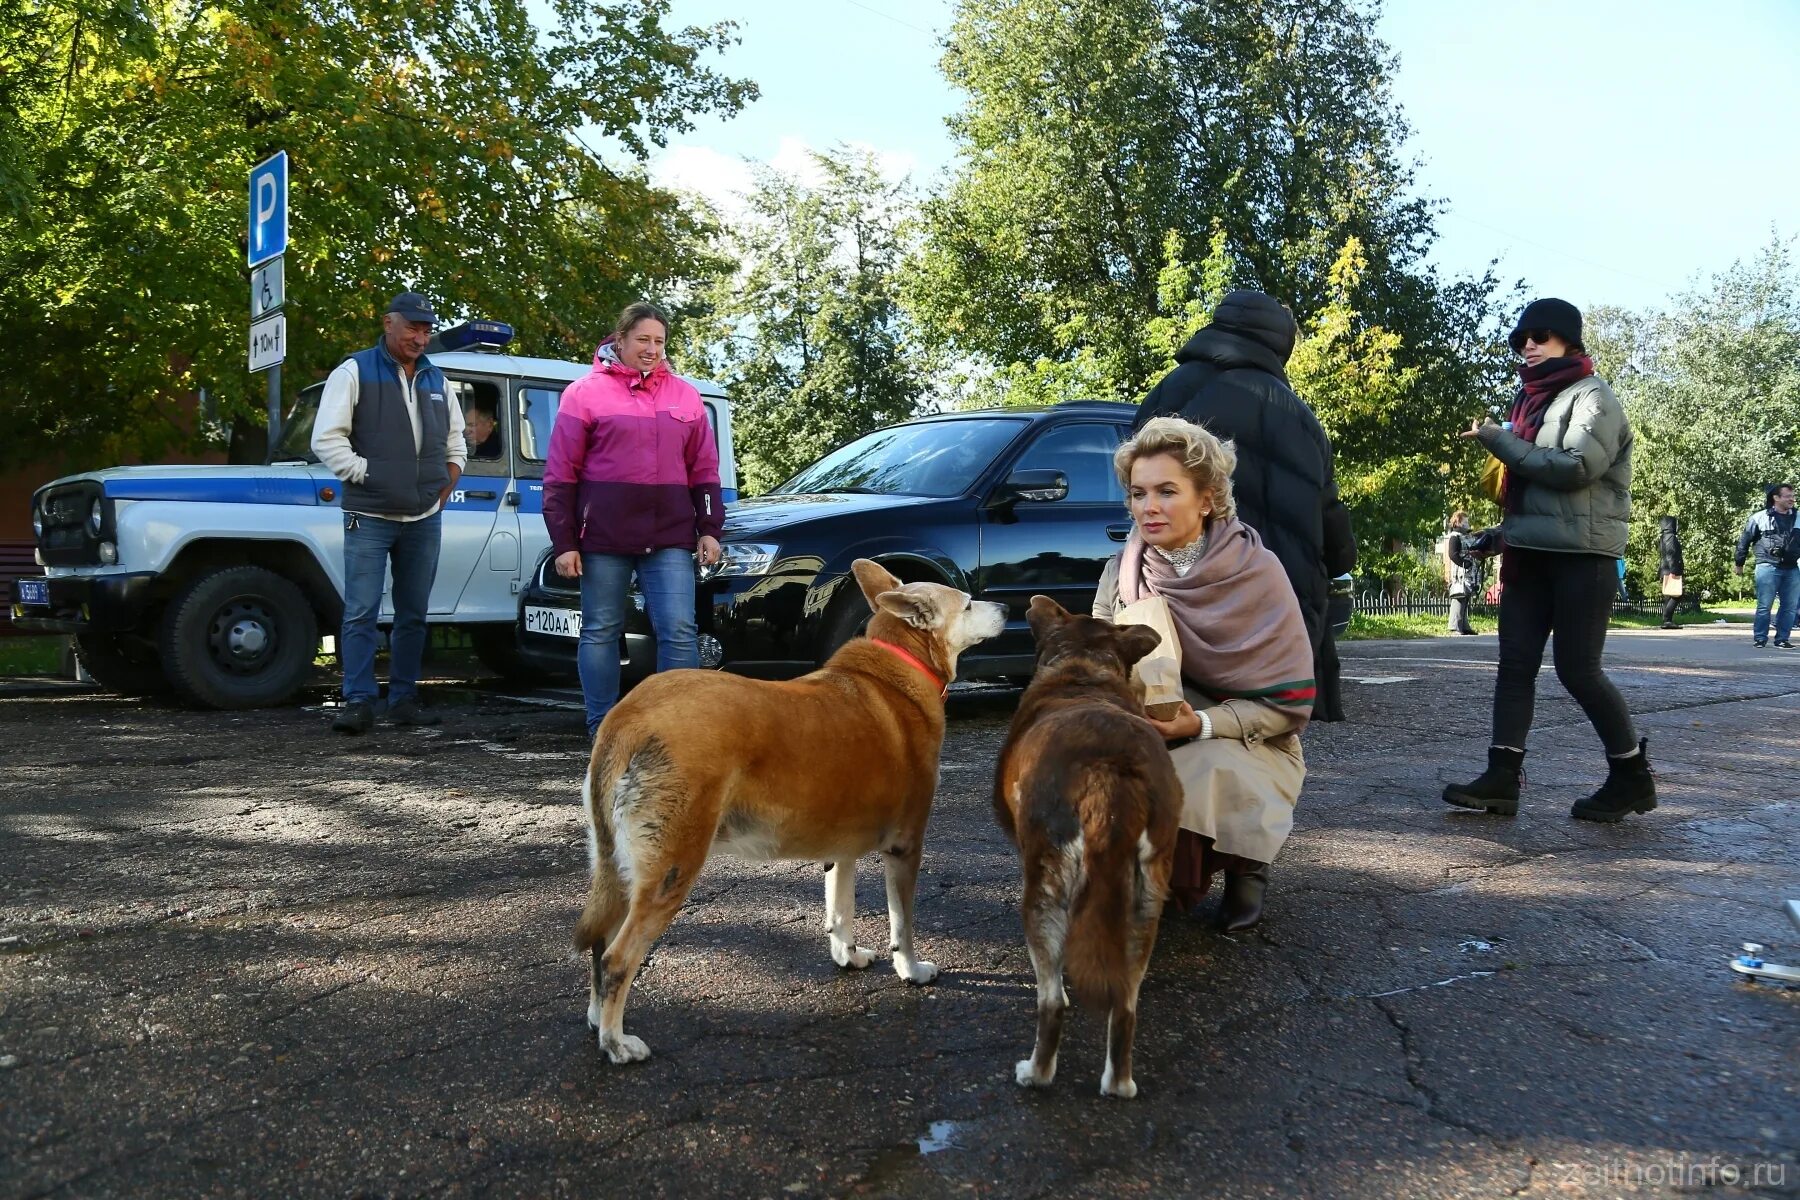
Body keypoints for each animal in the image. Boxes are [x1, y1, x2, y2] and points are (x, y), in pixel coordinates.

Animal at [568, 557, 1008, 1065]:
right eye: (969, 604)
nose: (1006, 606)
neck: (899, 665)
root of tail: (630, 715)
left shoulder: (842, 849)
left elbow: (840, 911)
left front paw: (849, 957)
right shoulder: (905, 847)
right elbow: (903, 924)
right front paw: (911, 970)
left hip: (620, 868)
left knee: (599, 945)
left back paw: (597, 1018)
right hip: (670, 870)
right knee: (617, 958)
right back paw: (616, 1042)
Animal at [986, 597, 1180, 1101]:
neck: (1084, 669)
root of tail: (1107, 769)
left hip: (1044, 889)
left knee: (1052, 1002)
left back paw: (1036, 1072)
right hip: (1146, 897)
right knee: (1125, 1004)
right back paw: (1120, 1083)